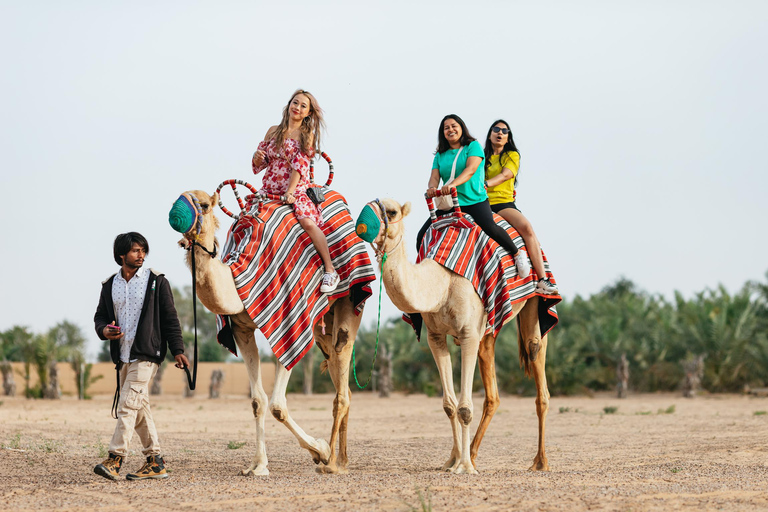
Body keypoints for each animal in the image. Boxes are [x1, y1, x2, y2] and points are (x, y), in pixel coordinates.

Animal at [176, 191, 362, 476]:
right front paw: (258, 465)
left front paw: (319, 450)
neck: (236, 277)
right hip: (322, 325)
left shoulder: (289, 322)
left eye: (205, 205)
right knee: (342, 379)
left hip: (349, 301)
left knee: (342, 384)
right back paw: (343, 460)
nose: (177, 217)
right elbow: (257, 401)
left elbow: (277, 405)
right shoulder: (241, 329)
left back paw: (331, 463)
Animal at [364, 198, 548, 474]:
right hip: (488, 330)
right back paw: (470, 453)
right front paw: (453, 460)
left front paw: (465, 467)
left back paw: (539, 461)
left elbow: (464, 408)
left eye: (392, 211)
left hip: (533, 304)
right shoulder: (436, 336)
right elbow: (449, 405)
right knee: (492, 394)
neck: (442, 281)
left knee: (535, 357)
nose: (362, 225)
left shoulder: (468, 333)